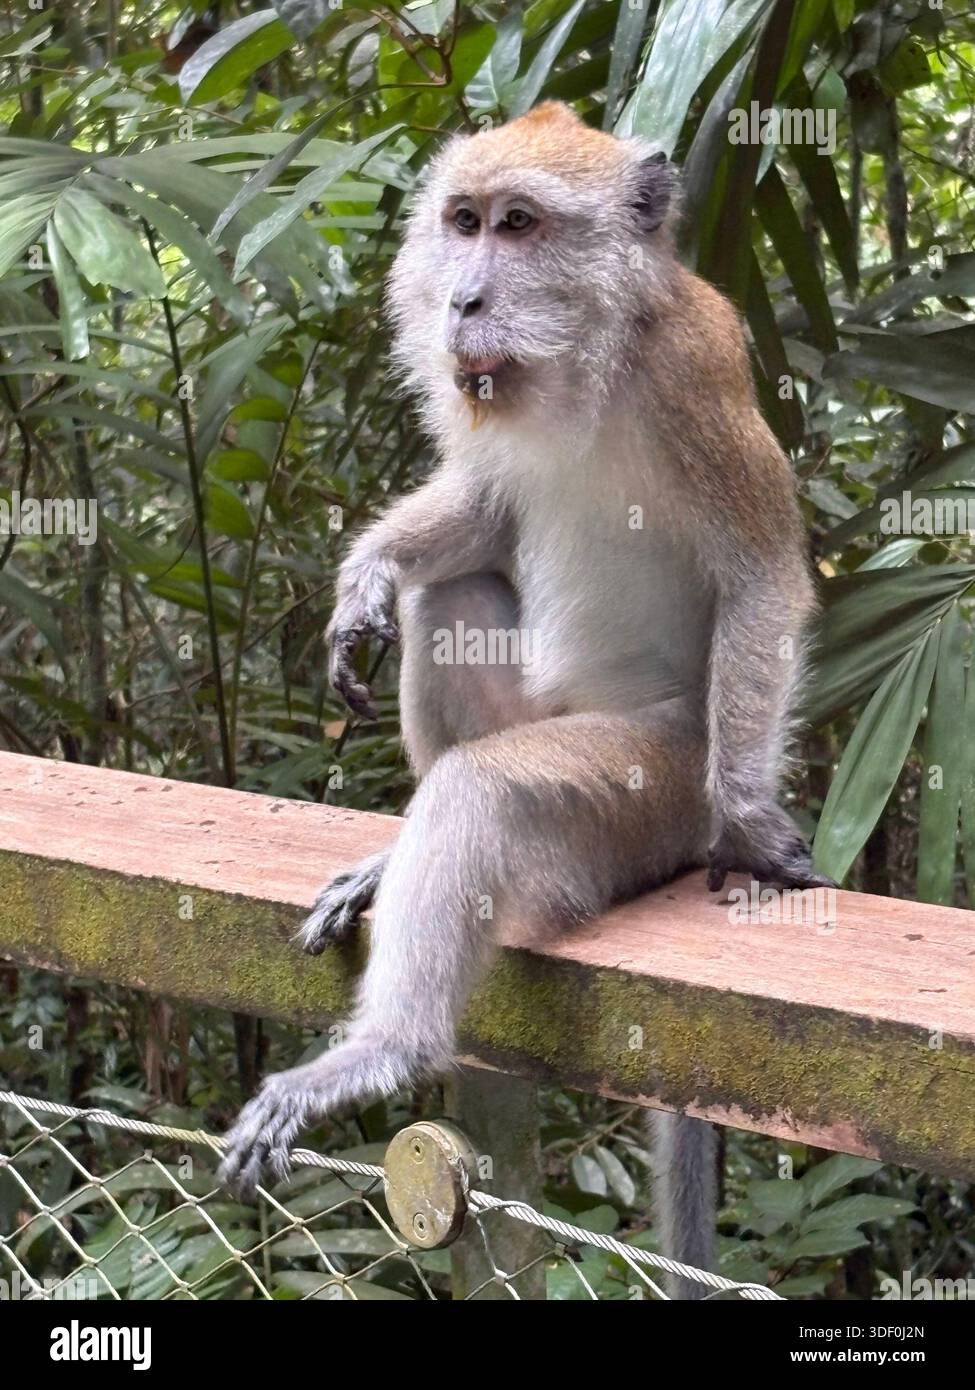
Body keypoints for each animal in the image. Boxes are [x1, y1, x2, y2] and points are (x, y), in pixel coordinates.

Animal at [218, 102, 832, 1296]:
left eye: (519, 225)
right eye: (461, 223)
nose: (462, 299)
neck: (584, 360)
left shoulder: (696, 372)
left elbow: (760, 580)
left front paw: (752, 821)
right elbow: (483, 510)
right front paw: (365, 576)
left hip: (647, 789)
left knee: (488, 789)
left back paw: (387, 1049)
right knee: (448, 597)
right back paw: (390, 851)